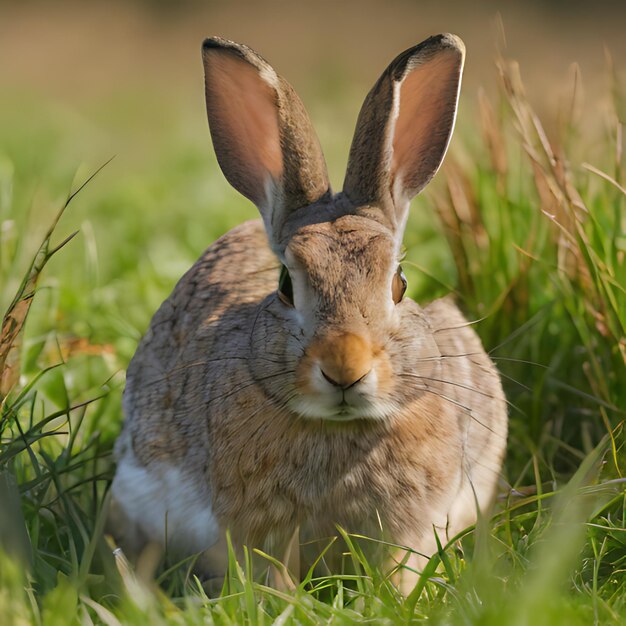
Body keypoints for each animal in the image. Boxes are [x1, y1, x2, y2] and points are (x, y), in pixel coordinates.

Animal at [108, 33, 508, 588]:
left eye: (400, 284)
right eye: (284, 286)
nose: (344, 369)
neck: (337, 429)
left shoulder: (410, 530)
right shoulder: (257, 533)